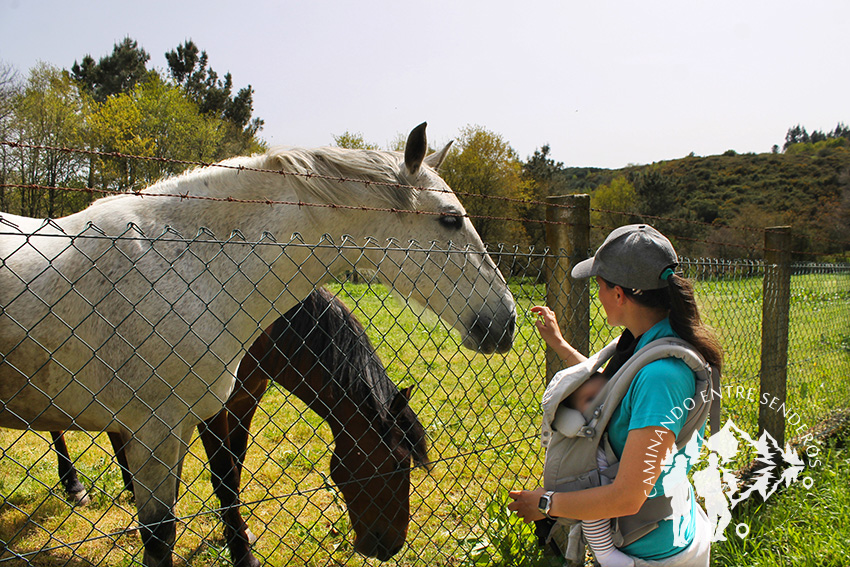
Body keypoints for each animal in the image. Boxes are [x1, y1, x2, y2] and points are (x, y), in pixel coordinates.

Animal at [49, 290, 428, 564]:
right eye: (396, 465)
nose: (391, 546)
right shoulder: (207, 409)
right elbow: (223, 476)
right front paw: (242, 553)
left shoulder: (247, 398)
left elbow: (237, 463)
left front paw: (239, 531)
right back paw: (74, 485)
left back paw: (129, 483)